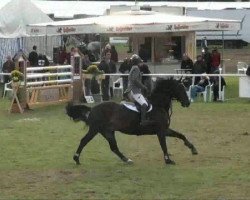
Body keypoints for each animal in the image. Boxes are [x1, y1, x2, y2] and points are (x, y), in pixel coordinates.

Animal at [66, 79, 197, 165]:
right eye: (180, 88)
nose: (187, 103)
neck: (158, 105)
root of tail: (93, 109)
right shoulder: (160, 131)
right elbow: (163, 145)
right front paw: (168, 160)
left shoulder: (165, 130)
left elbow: (181, 135)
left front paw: (193, 149)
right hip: (95, 129)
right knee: (84, 141)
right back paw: (76, 159)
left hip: (108, 132)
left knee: (114, 147)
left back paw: (127, 160)